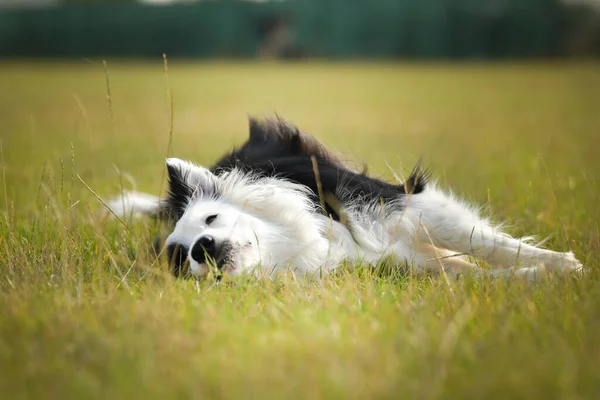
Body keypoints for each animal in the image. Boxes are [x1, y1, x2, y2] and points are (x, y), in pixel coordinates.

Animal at [105, 117, 584, 280]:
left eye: (210, 220)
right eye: (179, 258)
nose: (201, 249)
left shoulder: (393, 203)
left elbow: (485, 243)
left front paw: (565, 265)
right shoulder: (396, 263)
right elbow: (475, 276)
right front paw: (540, 279)